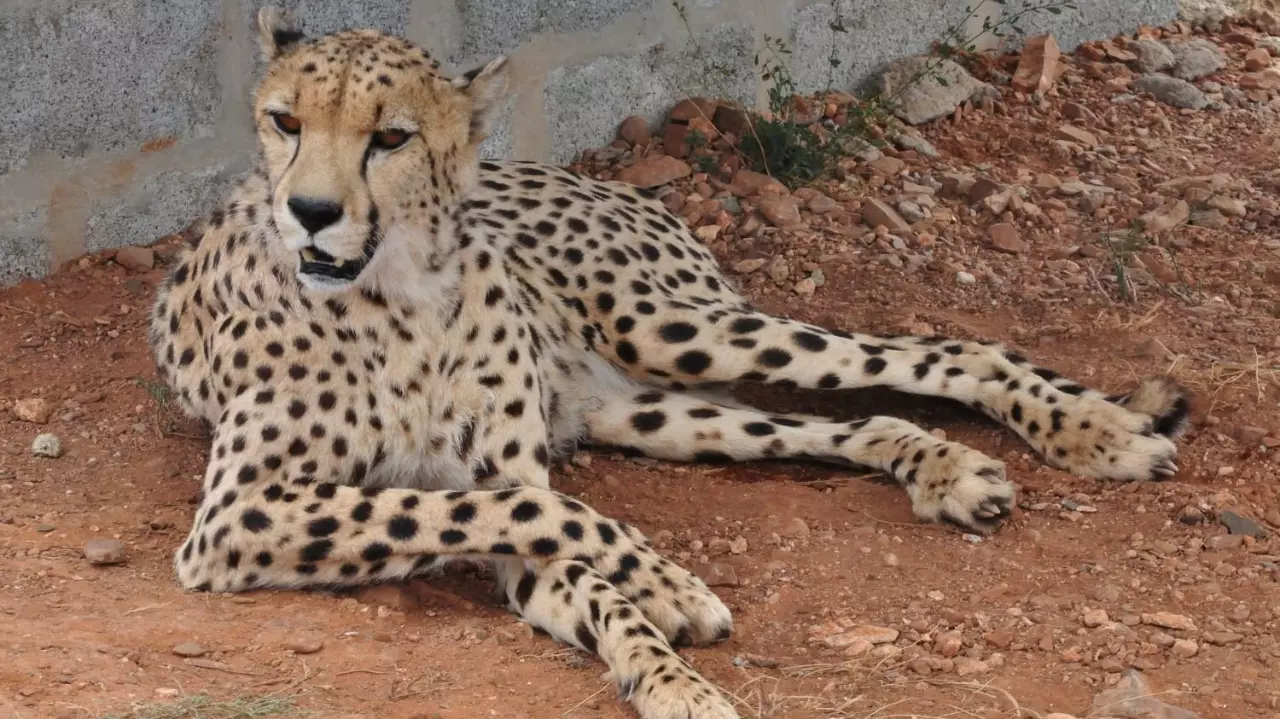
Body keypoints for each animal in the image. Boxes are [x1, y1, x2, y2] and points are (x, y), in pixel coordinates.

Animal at [147, 8, 1190, 718]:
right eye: (284, 121)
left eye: (389, 137)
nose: (310, 213)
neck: (399, 293)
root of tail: (585, 177)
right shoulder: (240, 515)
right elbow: (535, 518)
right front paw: (667, 615)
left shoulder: (288, 513)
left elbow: (533, 517)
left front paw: (668, 630)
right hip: (644, 408)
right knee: (862, 418)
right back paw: (951, 466)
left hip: (669, 327)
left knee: (944, 347)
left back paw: (1099, 431)